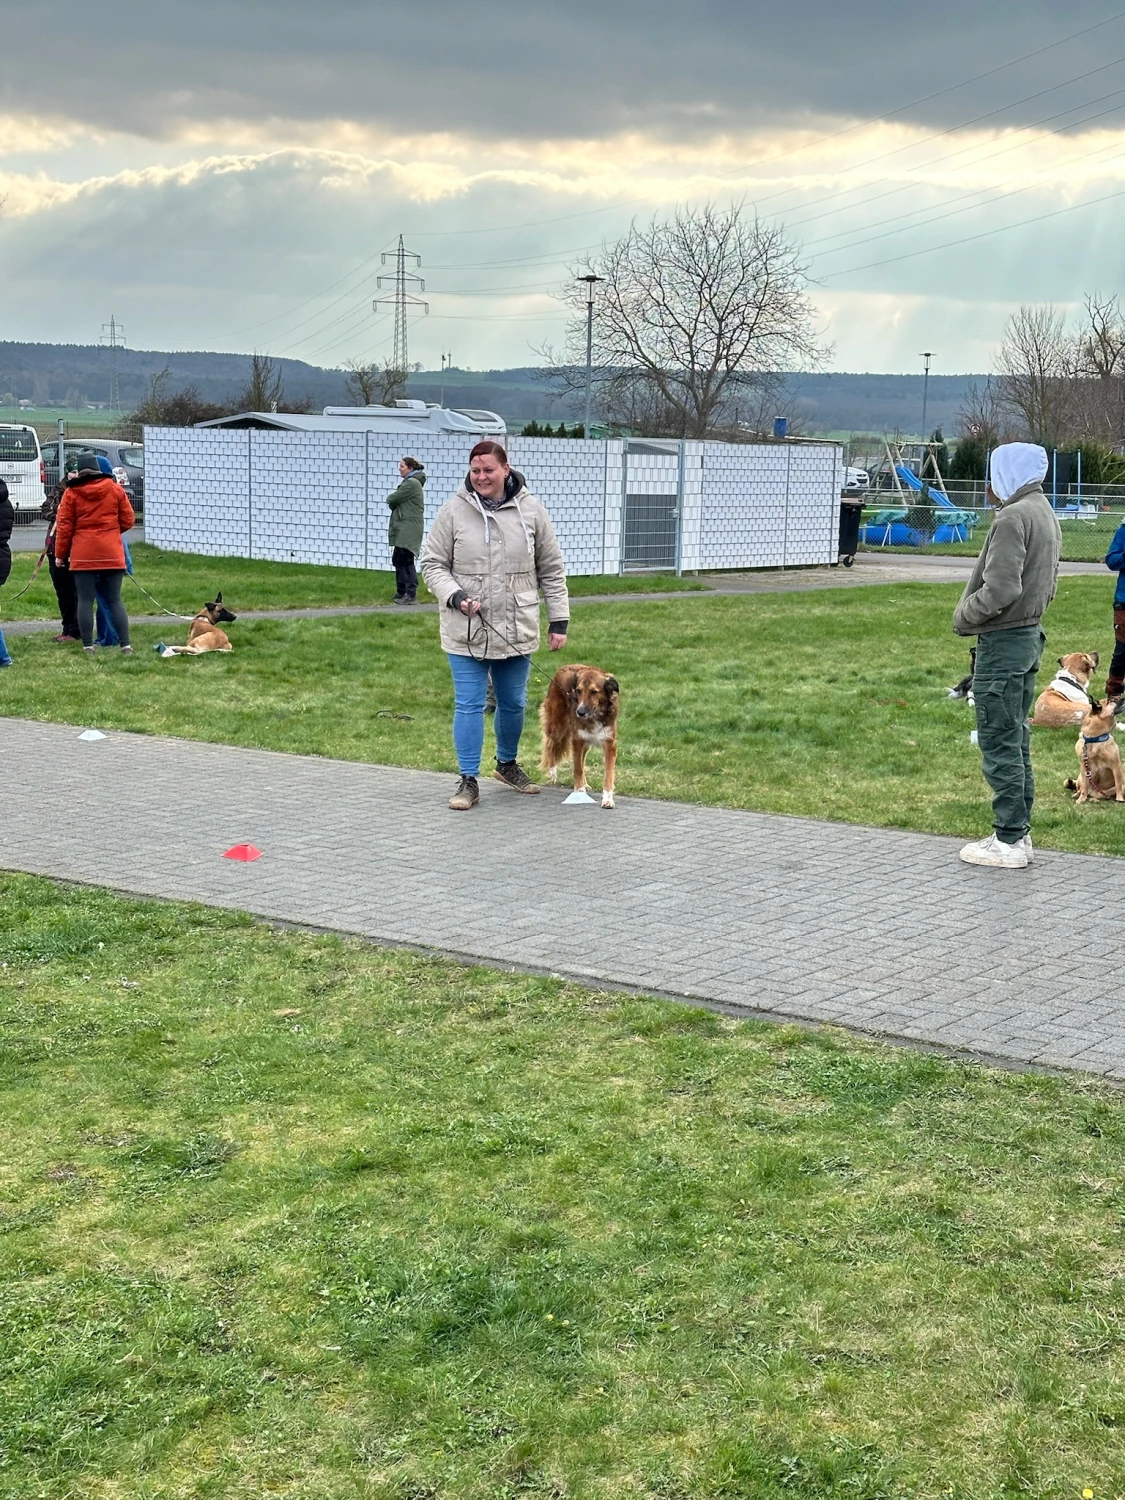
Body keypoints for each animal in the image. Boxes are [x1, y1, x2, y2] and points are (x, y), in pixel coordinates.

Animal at [540, 666, 621, 810]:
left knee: (582, 760)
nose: (580, 712)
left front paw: (607, 799)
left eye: (594, 692)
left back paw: (585, 783)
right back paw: (552, 773)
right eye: (578, 691)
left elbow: (608, 774)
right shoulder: (577, 740)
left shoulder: (609, 744)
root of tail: (562, 668)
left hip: (585, 742)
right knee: (551, 748)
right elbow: (577, 768)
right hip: (558, 728)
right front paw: (579, 791)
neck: (594, 715)